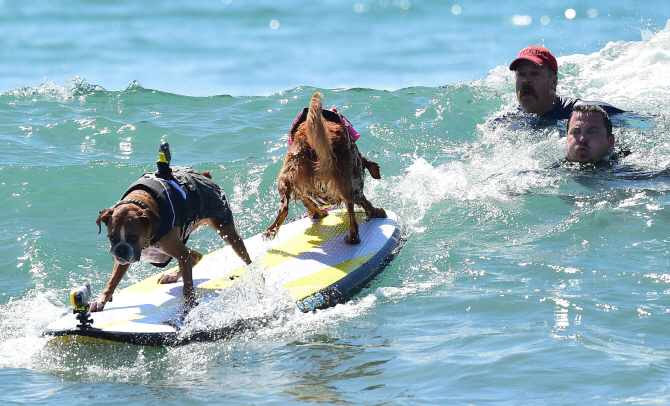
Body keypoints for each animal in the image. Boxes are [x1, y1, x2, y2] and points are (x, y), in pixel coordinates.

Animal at [92, 165, 252, 310]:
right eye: (111, 237)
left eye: (134, 237)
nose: (121, 250)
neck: (141, 201)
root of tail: (206, 176)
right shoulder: (124, 260)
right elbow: (113, 280)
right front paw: (101, 300)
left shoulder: (179, 253)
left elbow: (188, 286)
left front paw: (189, 305)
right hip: (166, 251)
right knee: (195, 255)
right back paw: (173, 275)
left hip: (227, 232)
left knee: (244, 257)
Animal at [264, 92, 386, 244]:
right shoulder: (357, 186)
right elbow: (366, 203)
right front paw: (377, 212)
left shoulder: (302, 190)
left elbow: (308, 202)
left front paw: (318, 212)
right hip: (347, 183)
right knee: (352, 217)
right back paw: (352, 238)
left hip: (287, 174)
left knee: (284, 207)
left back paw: (270, 231)